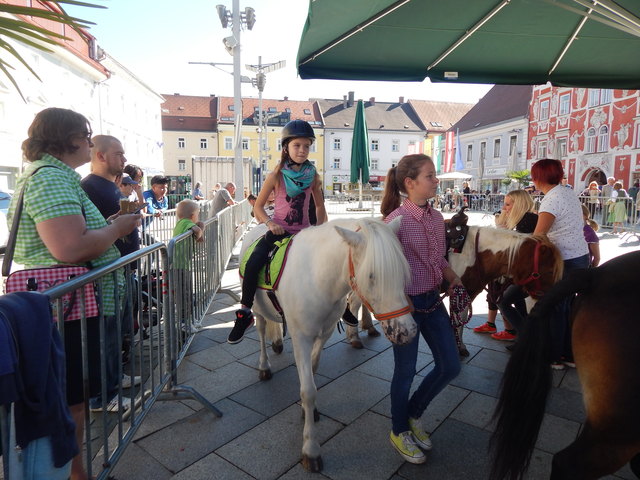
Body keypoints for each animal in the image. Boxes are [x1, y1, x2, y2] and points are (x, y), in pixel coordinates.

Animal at [239, 217, 417, 472]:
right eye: (372, 276)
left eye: (402, 272)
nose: (407, 332)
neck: (318, 277)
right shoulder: (301, 338)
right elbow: (308, 390)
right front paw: (311, 450)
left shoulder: (325, 333)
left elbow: (313, 373)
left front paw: (308, 411)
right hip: (256, 307)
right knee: (262, 330)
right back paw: (264, 366)